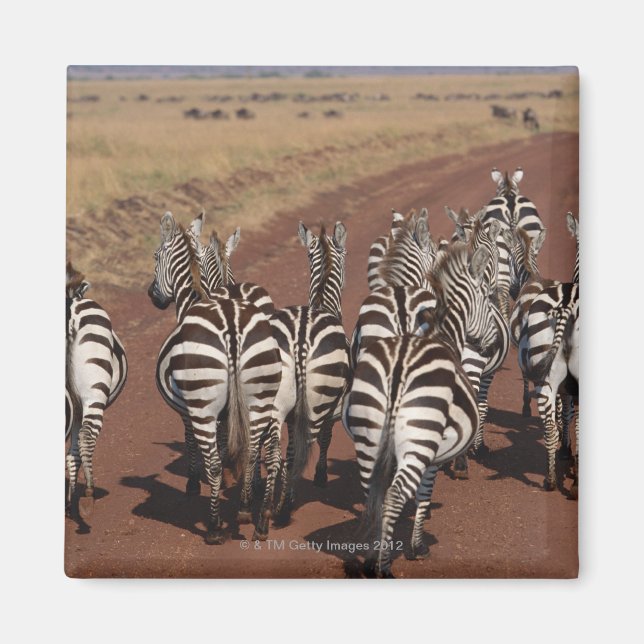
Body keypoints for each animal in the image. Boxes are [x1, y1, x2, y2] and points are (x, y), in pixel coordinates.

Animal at [148, 212, 283, 543]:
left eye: (156, 255)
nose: (152, 296)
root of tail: (232, 326)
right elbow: (231, 444)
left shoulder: (187, 410)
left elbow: (194, 444)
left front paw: (192, 484)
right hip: (262, 395)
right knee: (258, 449)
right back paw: (253, 511)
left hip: (203, 405)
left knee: (214, 460)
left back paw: (214, 526)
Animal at [344, 242, 495, 577]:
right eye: (488, 298)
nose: (490, 345)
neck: (443, 336)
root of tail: (399, 365)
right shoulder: (434, 455)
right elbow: (425, 494)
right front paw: (417, 547)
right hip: (419, 441)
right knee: (394, 495)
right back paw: (384, 566)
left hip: (369, 438)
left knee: (373, 495)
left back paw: (367, 559)